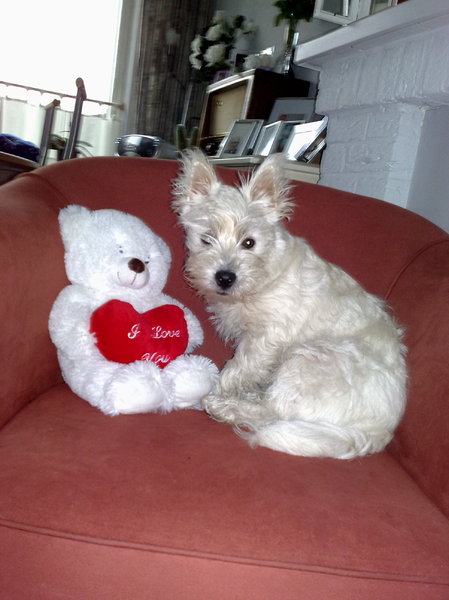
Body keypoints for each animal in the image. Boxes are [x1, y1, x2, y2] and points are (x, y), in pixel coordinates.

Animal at [172, 150, 407, 459]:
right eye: (206, 238)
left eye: (249, 242)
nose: (225, 277)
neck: (261, 279)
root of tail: (379, 432)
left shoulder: (264, 338)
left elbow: (237, 368)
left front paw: (219, 390)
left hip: (310, 359)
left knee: (273, 411)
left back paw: (223, 407)